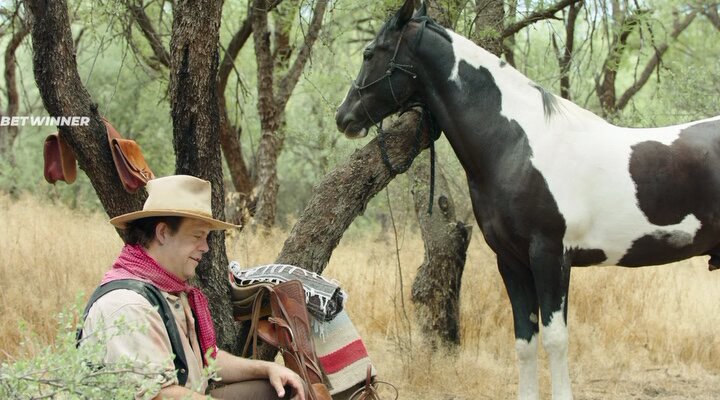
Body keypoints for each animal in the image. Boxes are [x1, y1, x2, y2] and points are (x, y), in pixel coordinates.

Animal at [334, 0, 720, 399]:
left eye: (370, 52)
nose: (343, 117)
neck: (517, 146)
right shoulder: (511, 260)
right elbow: (525, 342)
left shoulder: (550, 256)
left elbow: (555, 339)